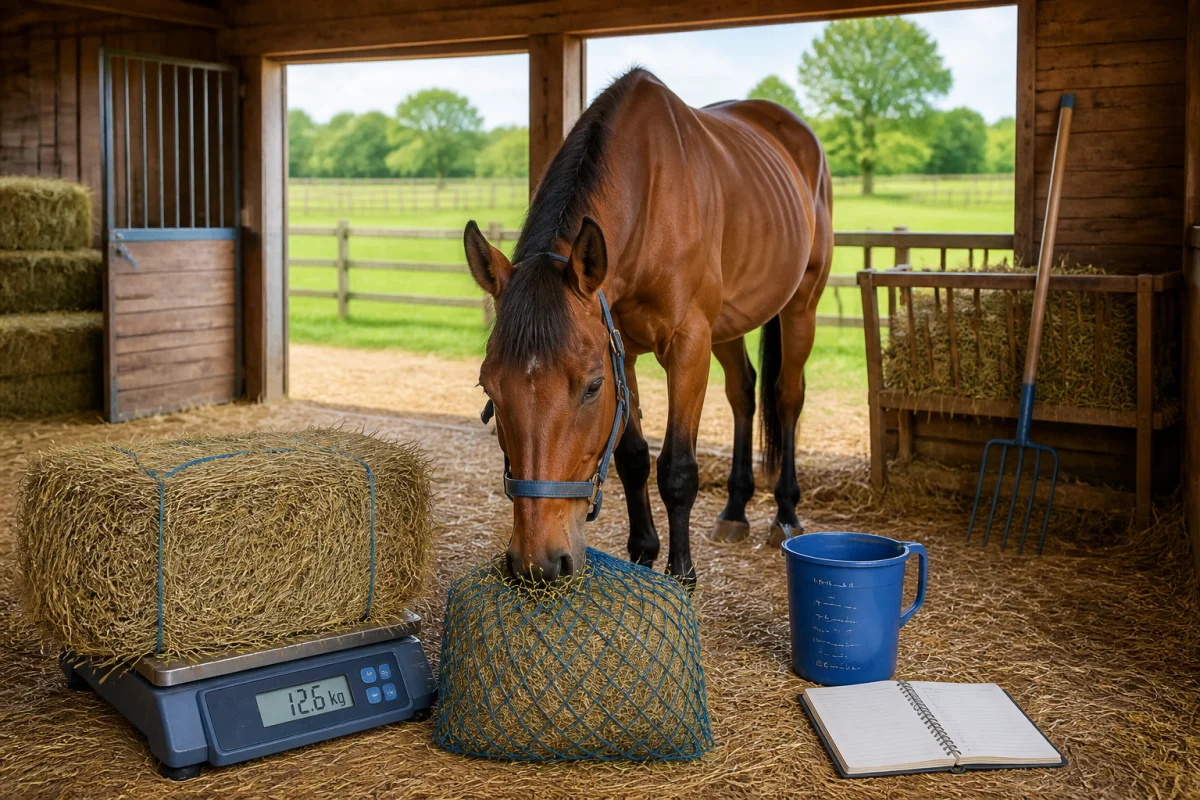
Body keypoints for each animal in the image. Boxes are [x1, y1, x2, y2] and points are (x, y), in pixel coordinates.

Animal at [464, 68, 833, 586]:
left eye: (592, 388)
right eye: (489, 390)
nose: (539, 563)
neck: (647, 197)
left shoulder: (687, 345)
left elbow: (676, 467)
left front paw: (681, 574)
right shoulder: (622, 348)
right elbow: (632, 457)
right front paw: (643, 553)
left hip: (802, 305)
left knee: (786, 397)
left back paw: (785, 514)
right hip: (729, 324)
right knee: (743, 392)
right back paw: (735, 510)